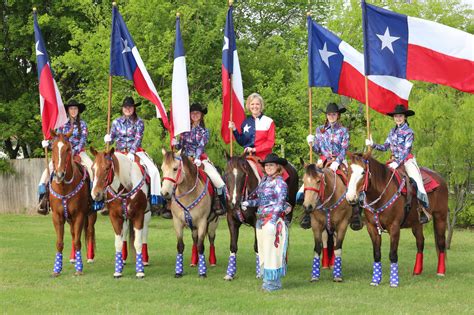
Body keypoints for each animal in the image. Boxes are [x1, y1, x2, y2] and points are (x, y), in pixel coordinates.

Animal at [48, 130, 96, 276]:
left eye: (68, 149)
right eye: (52, 148)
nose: (59, 175)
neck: (64, 188)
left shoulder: (79, 215)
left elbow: (78, 241)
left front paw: (79, 269)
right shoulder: (57, 216)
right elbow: (60, 243)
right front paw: (56, 269)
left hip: (90, 215)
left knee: (89, 231)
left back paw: (90, 257)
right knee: (74, 232)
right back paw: (73, 258)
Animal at [89, 148, 148, 278]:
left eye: (107, 168)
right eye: (92, 168)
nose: (96, 194)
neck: (126, 188)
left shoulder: (139, 216)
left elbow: (138, 243)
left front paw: (140, 271)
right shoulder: (115, 217)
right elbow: (118, 243)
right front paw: (118, 270)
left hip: (147, 215)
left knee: (144, 236)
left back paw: (145, 261)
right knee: (124, 234)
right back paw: (122, 261)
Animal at [160, 149, 218, 278]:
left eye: (175, 168)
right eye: (162, 168)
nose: (164, 193)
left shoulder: (202, 222)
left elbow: (201, 246)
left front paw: (202, 272)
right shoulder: (177, 222)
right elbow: (180, 246)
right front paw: (178, 271)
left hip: (212, 222)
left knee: (211, 239)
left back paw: (212, 261)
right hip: (193, 226)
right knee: (195, 239)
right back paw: (194, 261)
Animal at [344, 153, 448, 288]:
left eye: (363, 172)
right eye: (348, 171)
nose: (350, 197)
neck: (381, 193)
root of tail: (441, 178)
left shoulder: (394, 227)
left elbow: (393, 255)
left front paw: (394, 281)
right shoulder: (372, 228)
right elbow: (376, 254)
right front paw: (375, 280)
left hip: (440, 217)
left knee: (441, 242)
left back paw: (440, 271)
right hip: (416, 223)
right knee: (420, 242)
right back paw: (417, 271)